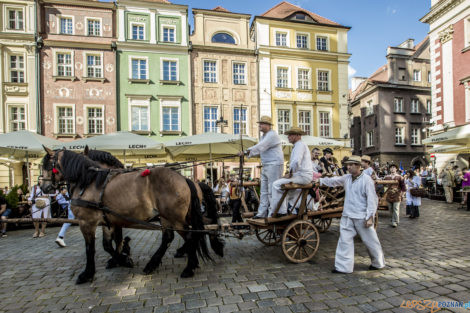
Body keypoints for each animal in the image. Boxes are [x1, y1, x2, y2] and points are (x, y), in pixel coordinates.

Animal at [40, 147, 224, 282]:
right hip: (172, 216)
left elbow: (90, 248)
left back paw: (189, 267)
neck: (88, 181)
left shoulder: (87, 222)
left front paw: (88, 273)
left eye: (47, 166)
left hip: (175, 218)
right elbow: (109, 244)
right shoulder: (109, 221)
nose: (44, 188)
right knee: (182, 233)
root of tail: (185, 179)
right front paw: (122, 258)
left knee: (191, 236)